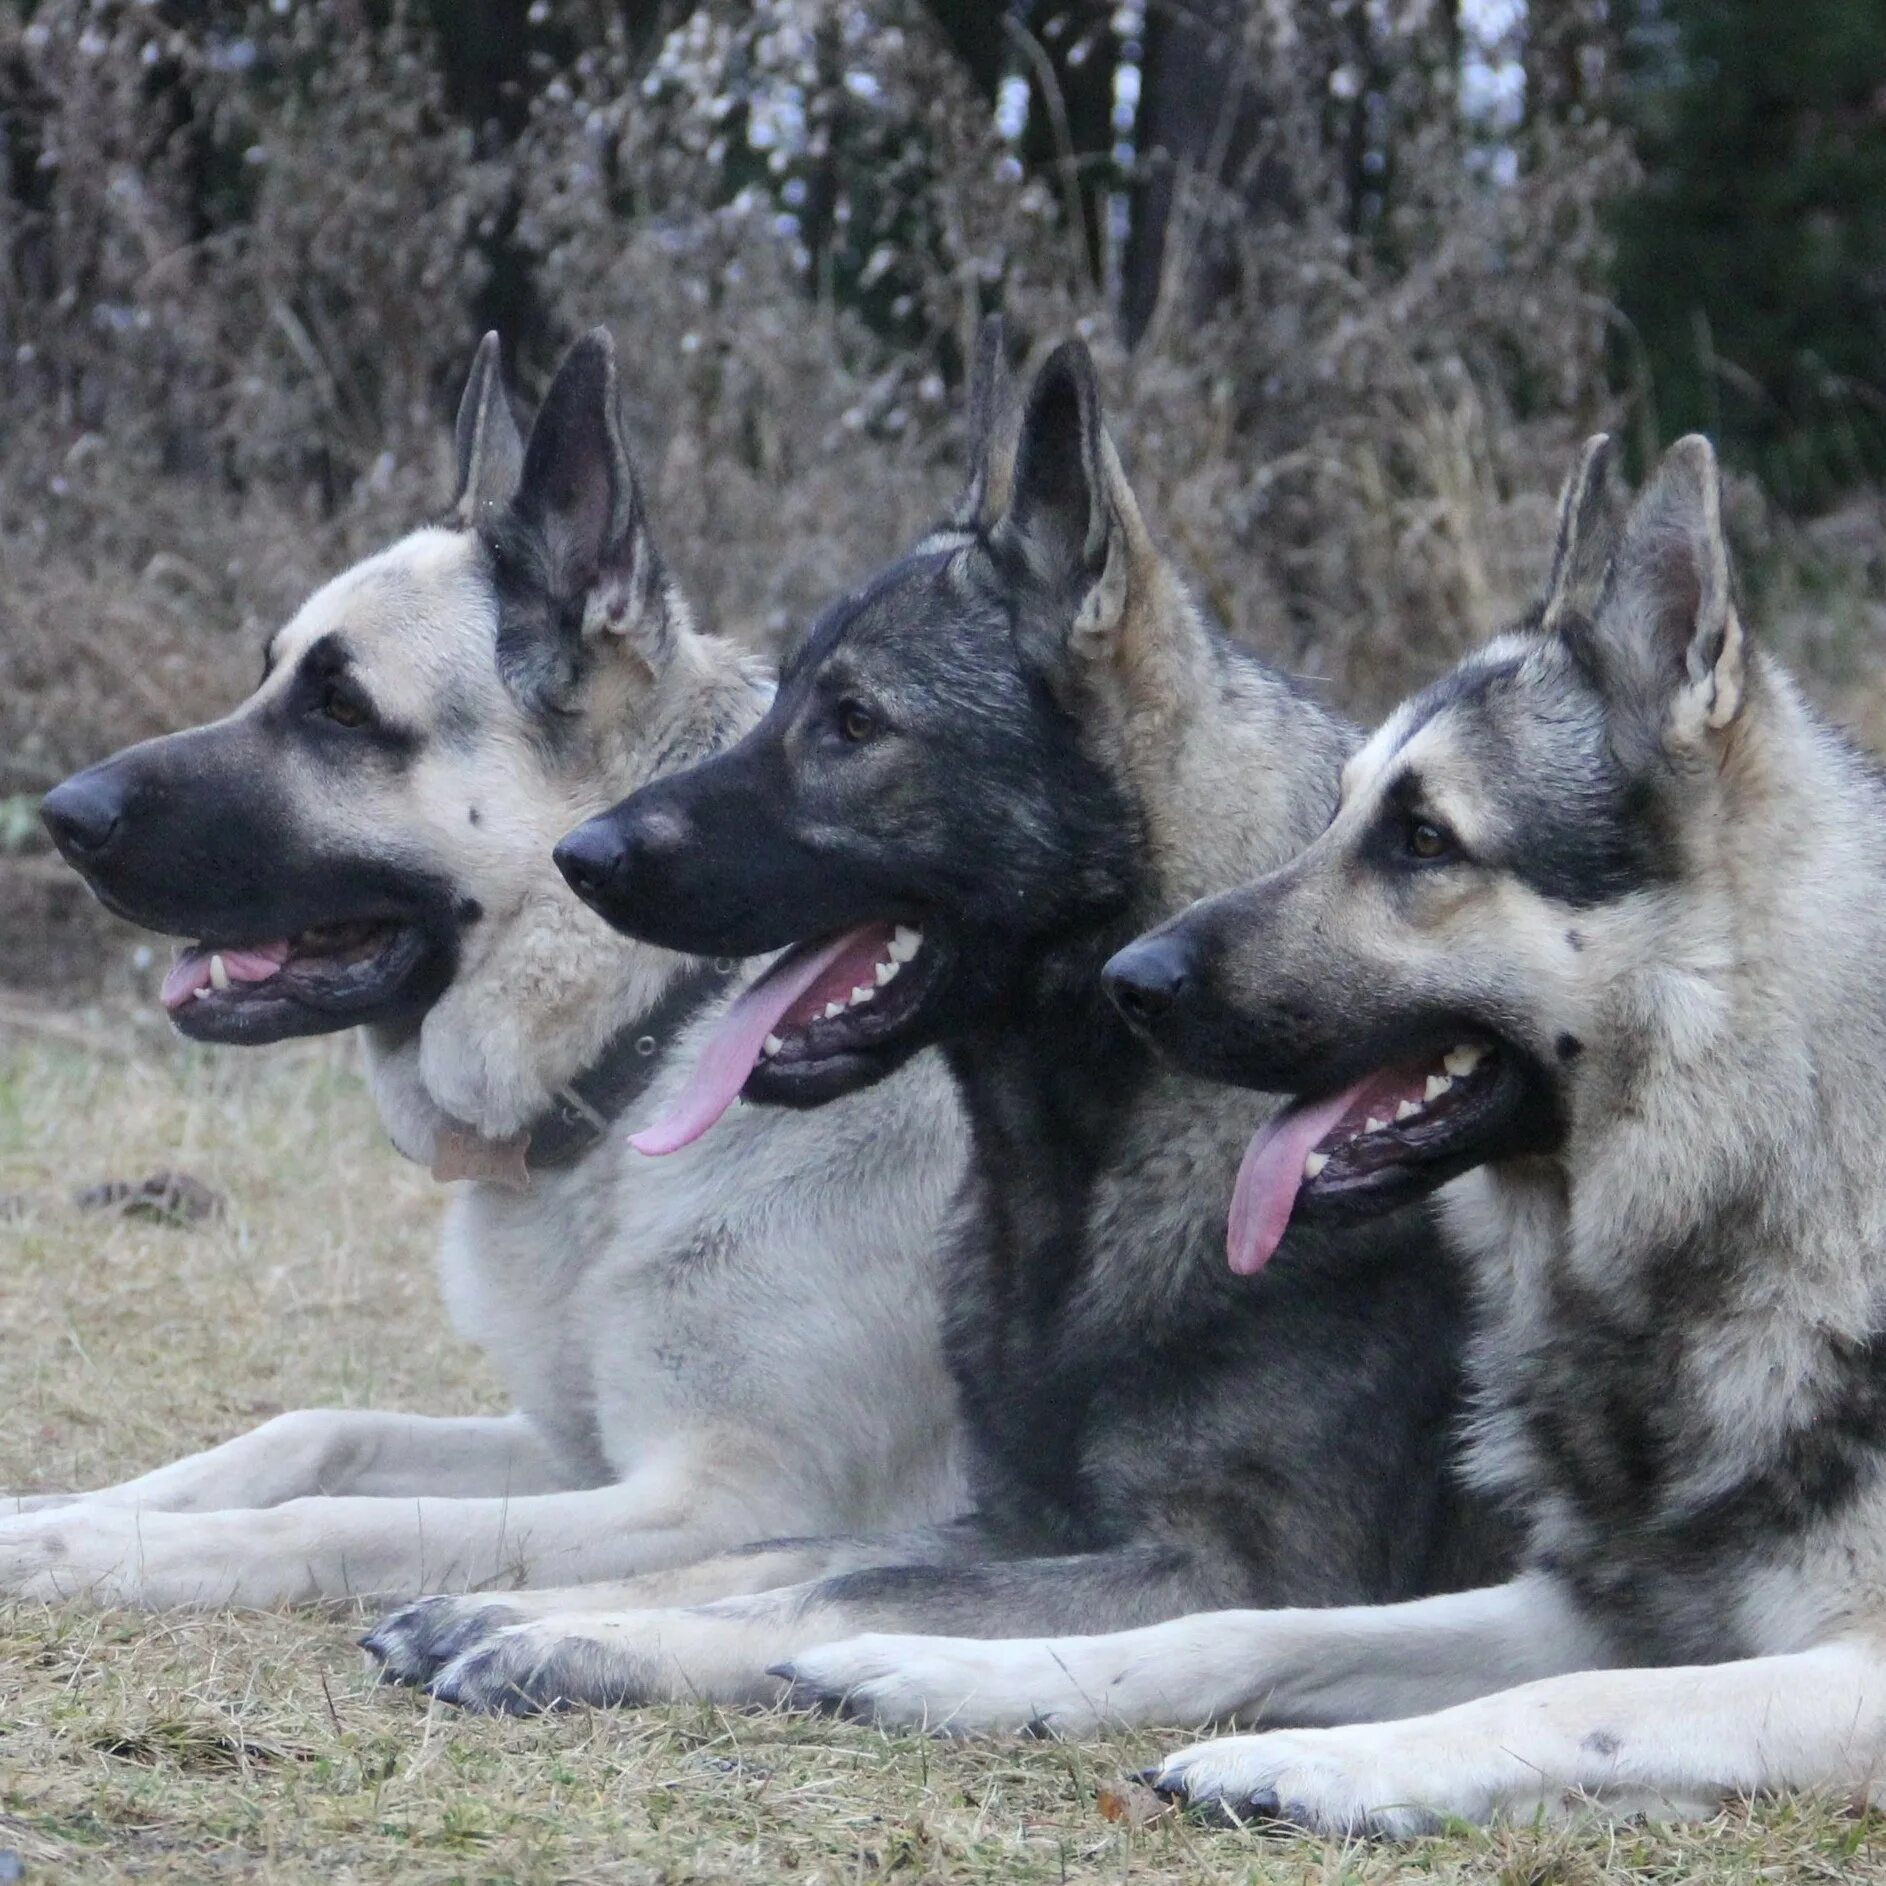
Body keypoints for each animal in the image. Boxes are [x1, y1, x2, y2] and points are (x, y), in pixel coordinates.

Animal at [25, 331, 973, 1599]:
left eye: (341, 705)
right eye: (269, 672)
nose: (60, 816)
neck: (655, 1028)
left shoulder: (719, 1502)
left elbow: (331, 1521)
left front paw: (89, 1547)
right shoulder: (567, 1449)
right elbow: (312, 1428)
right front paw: (65, 1505)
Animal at [363, 328, 1516, 1727]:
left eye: (854, 721)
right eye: (785, 700)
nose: (580, 857)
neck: (1108, 1137)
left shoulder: (1235, 1569)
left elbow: (839, 1588)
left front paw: (575, 1637)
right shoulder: (1006, 1518)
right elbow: (780, 1553)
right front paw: (521, 1607)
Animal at [777, 437, 1886, 1825]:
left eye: (1421, 839)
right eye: (1340, 810)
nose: (1130, 982)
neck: (1762, 1157)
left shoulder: (1823, 1668)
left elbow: (1568, 1705)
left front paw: (1317, 1761)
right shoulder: (1574, 1606)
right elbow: (1245, 1625)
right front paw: (949, 1667)